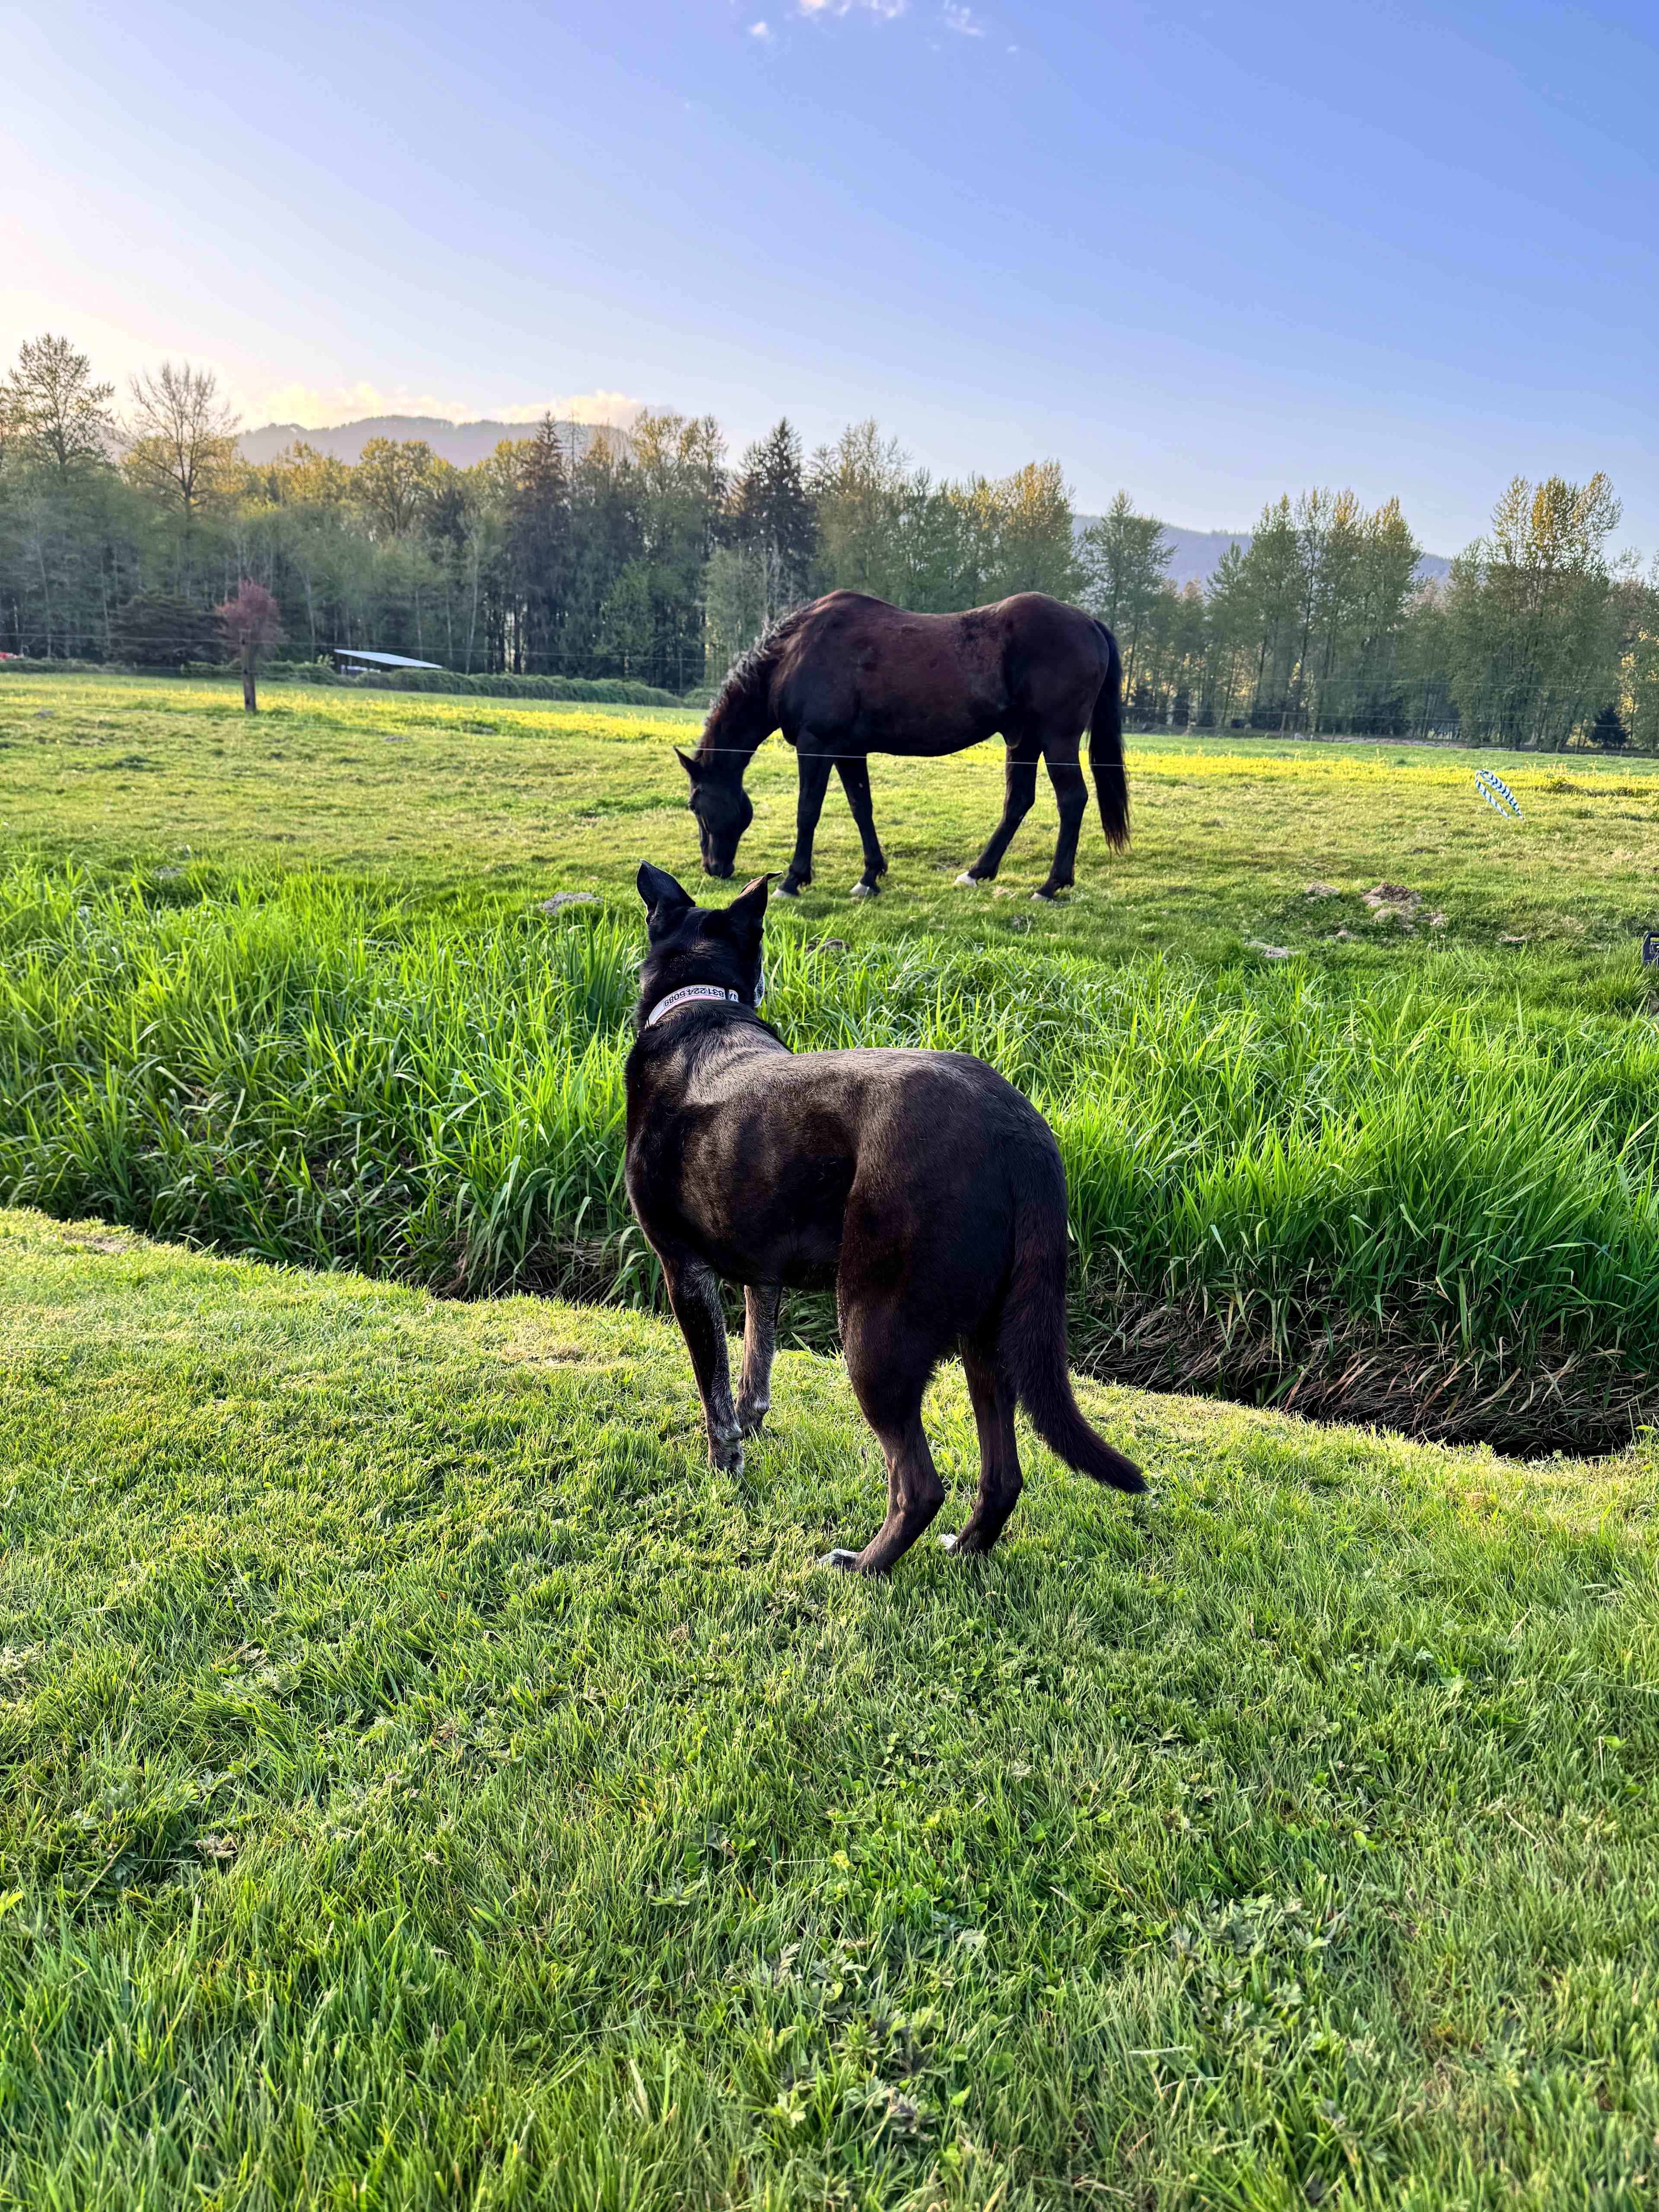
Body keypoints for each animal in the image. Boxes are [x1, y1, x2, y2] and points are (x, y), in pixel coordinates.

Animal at [624, 862, 1146, 1575]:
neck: (698, 1005)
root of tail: (1020, 1132)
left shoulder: (685, 1273)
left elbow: (715, 1391)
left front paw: (724, 1467)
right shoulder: (765, 1273)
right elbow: (755, 1366)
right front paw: (753, 1426)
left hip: (877, 1329)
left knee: (918, 1484)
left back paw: (863, 1567)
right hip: (988, 1340)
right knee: (1002, 1476)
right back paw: (965, 1550)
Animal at [677, 589, 1129, 901]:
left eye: (695, 806)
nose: (714, 868)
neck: (796, 653)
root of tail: (1089, 622)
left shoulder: (816, 745)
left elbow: (808, 812)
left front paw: (793, 880)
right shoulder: (848, 750)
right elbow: (861, 807)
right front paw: (870, 876)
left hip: (1057, 738)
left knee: (1072, 800)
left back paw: (1050, 885)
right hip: (1024, 740)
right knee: (1018, 802)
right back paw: (977, 872)